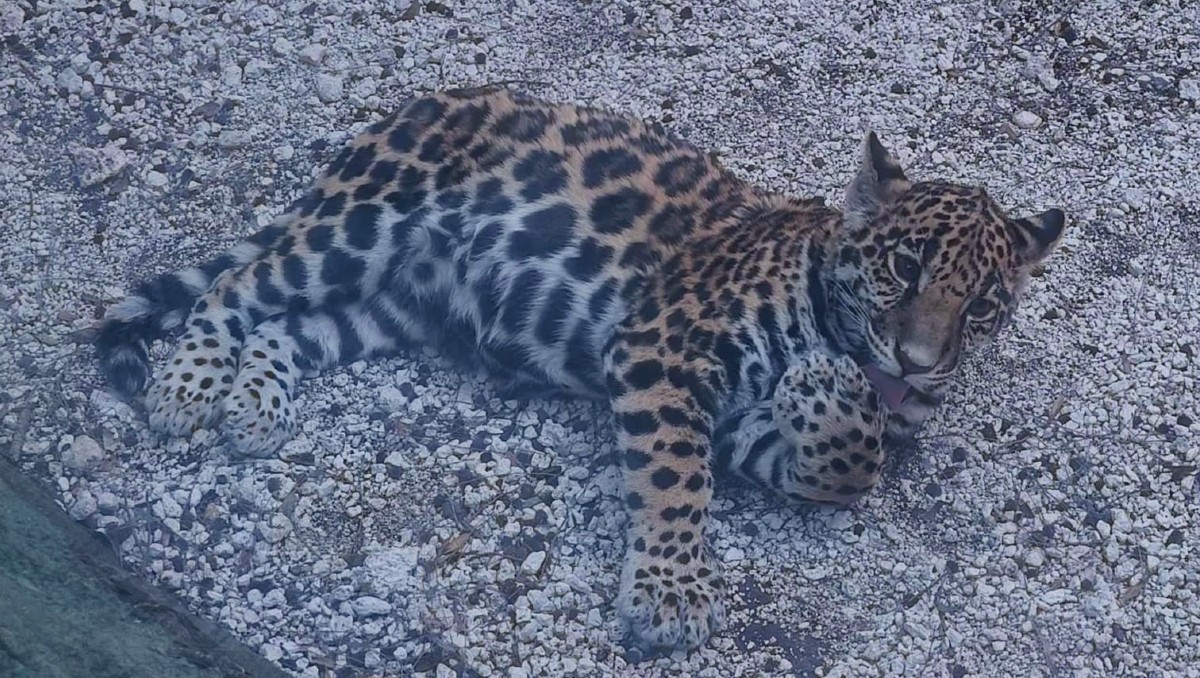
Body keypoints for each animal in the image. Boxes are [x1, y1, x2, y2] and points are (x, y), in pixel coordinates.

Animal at [93, 86, 1067, 651]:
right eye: (905, 269)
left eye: (982, 308)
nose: (918, 362)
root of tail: (427, 100)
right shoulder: (663, 350)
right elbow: (677, 479)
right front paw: (671, 593)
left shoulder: (741, 422)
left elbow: (844, 468)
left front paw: (828, 400)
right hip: (360, 226)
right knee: (240, 282)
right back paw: (188, 385)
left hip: (394, 303)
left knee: (289, 328)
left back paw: (254, 401)